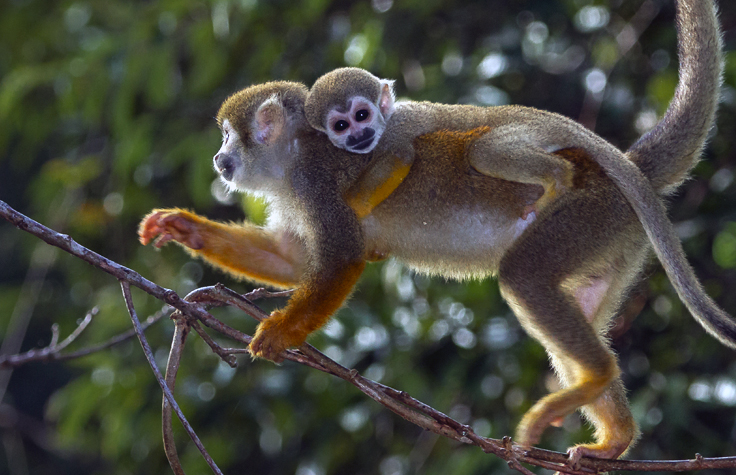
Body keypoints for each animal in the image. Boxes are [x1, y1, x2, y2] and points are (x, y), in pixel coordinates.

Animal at [139, 0, 732, 468]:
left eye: (228, 138)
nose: (218, 159)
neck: (296, 156)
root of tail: (617, 170)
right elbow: (292, 260)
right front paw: (184, 227)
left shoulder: (316, 183)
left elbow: (342, 257)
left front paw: (282, 332)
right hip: (614, 238)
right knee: (575, 304)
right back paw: (614, 435)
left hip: (586, 215)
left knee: (525, 274)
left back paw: (596, 375)